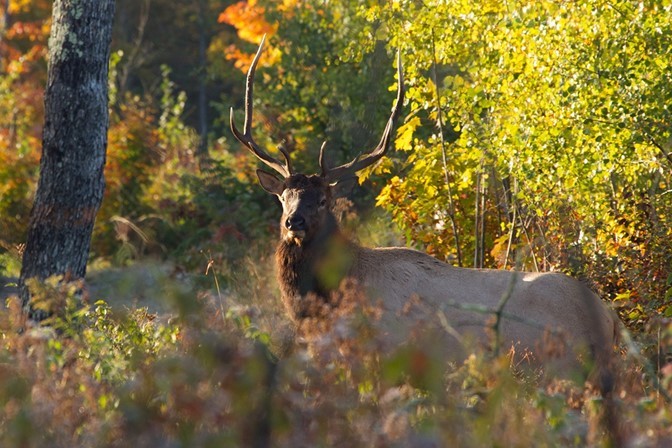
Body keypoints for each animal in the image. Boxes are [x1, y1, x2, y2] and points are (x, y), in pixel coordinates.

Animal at [228, 37, 616, 378]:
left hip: (560, 364)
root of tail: (610, 319)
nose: (294, 222)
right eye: (283, 197)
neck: (334, 300)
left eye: (323, 200)